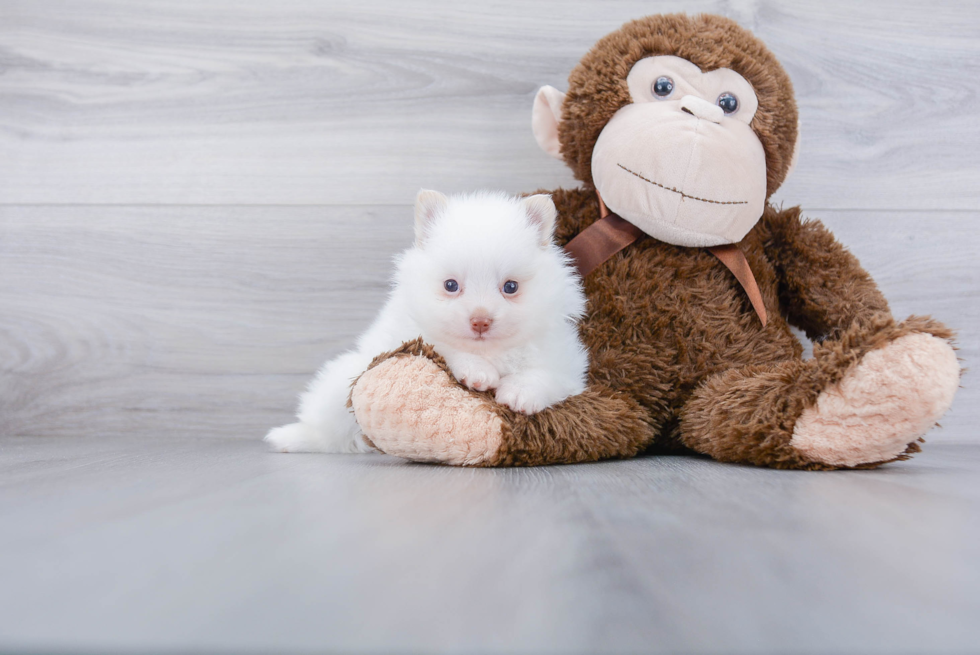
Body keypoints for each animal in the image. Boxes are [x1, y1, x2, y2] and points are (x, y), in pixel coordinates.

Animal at [266, 190, 588, 454]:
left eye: (510, 287)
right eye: (450, 285)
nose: (480, 321)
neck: (490, 351)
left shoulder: (564, 358)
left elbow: (545, 373)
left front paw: (520, 392)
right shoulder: (410, 335)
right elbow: (446, 345)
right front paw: (477, 371)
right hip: (340, 384)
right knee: (327, 430)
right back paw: (291, 438)